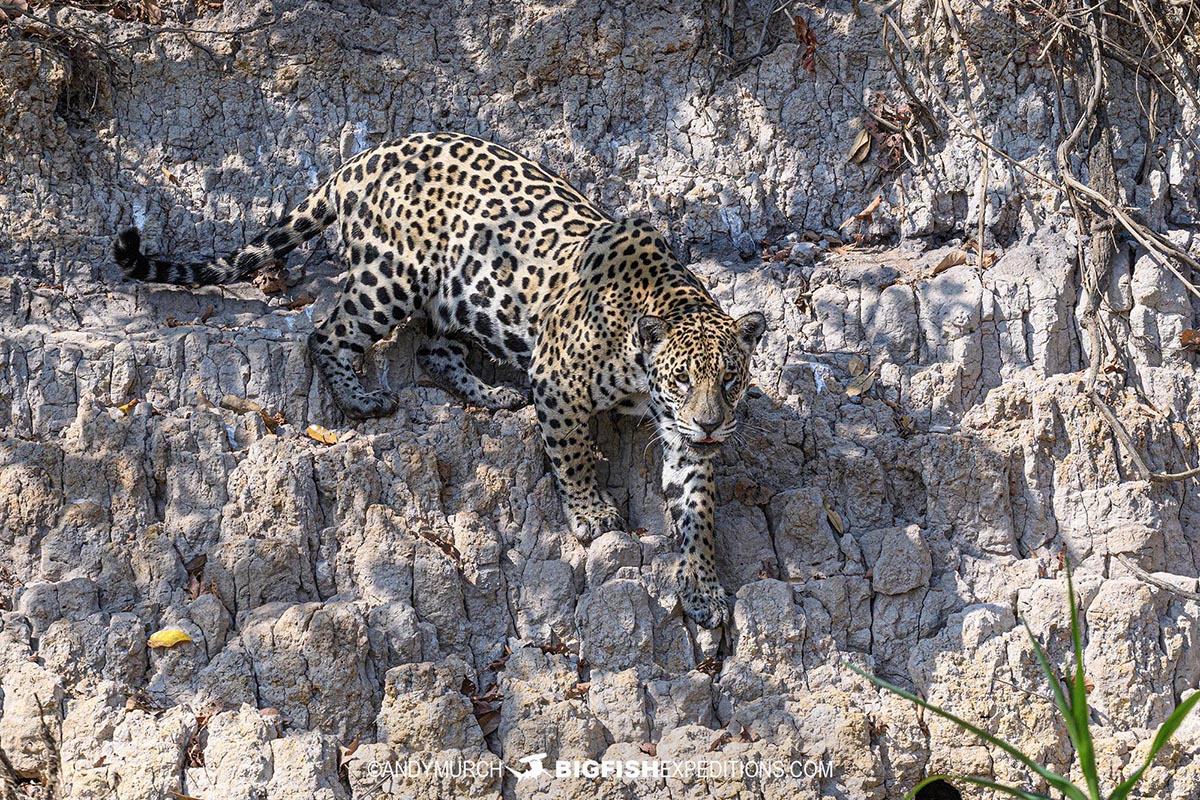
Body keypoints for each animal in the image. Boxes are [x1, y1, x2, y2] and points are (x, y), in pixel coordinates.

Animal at [113, 131, 767, 629]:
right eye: (681, 379)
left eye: (730, 381)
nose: (713, 425)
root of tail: (363, 156)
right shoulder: (560, 381)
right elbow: (575, 451)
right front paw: (591, 513)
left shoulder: (683, 439)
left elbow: (699, 513)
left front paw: (704, 589)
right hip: (392, 279)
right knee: (326, 334)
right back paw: (362, 401)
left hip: (460, 299)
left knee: (431, 349)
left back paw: (495, 395)